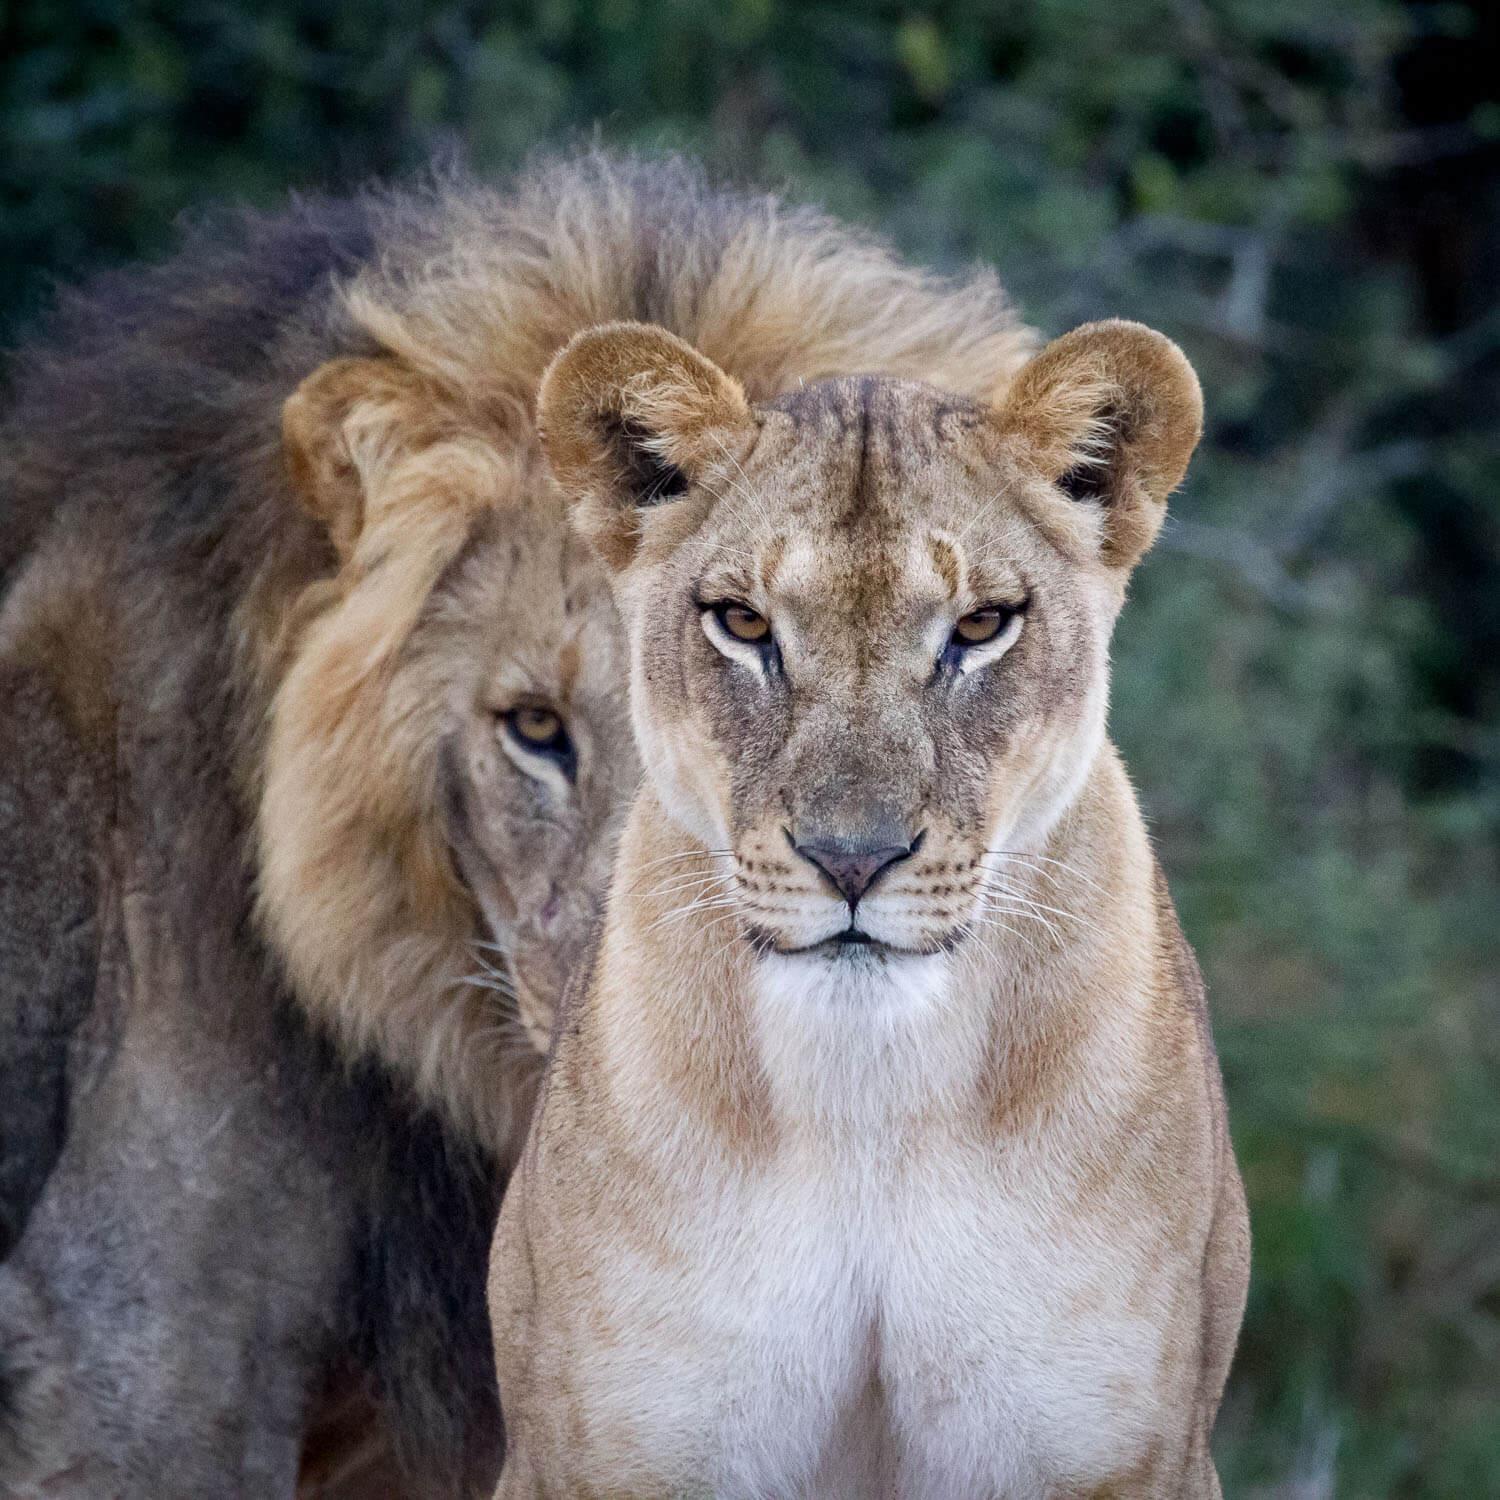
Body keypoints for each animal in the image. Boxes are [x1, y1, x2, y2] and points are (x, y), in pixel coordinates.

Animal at [492, 322, 1254, 1494]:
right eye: (743, 622)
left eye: (980, 625)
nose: (852, 860)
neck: (868, 1097)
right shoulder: (600, 1451)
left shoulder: (1128, 1453)